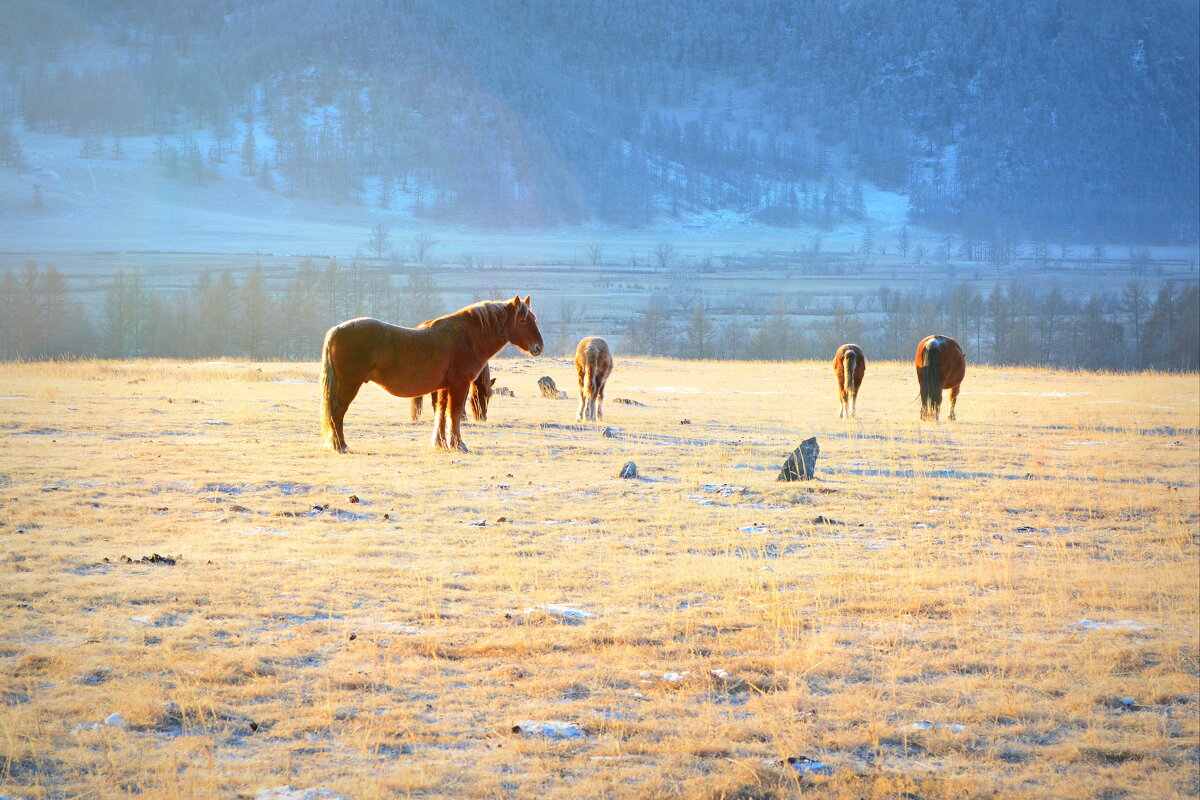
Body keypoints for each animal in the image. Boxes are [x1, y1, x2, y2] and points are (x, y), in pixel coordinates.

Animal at [319, 296, 544, 455]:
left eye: (534, 318)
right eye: (523, 320)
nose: (538, 347)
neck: (466, 338)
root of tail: (336, 330)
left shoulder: (444, 388)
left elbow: (441, 413)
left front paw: (440, 443)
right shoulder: (459, 385)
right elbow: (454, 413)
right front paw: (458, 444)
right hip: (349, 384)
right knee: (337, 411)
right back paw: (340, 445)